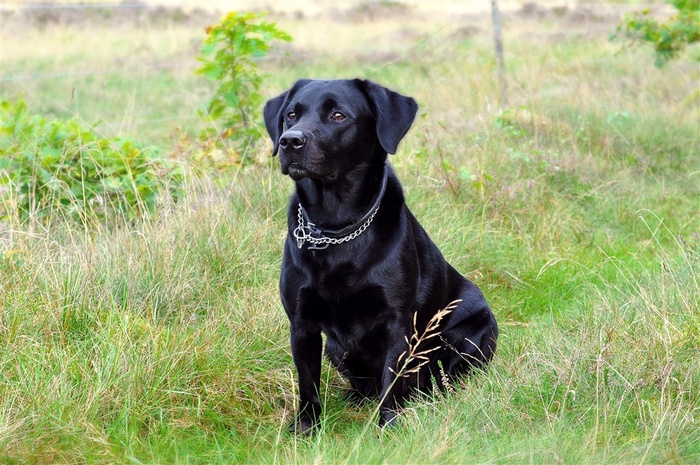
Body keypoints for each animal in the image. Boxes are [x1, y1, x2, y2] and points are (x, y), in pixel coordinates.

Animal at [262, 79, 498, 432]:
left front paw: (389, 427)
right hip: (336, 348)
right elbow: (308, 384)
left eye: (338, 115)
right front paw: (307, 428)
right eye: (291, 114)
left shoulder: (397, 322)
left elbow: (391, 381)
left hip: (474, 332)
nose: (290, 141)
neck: (336, 228)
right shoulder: (301, 324)